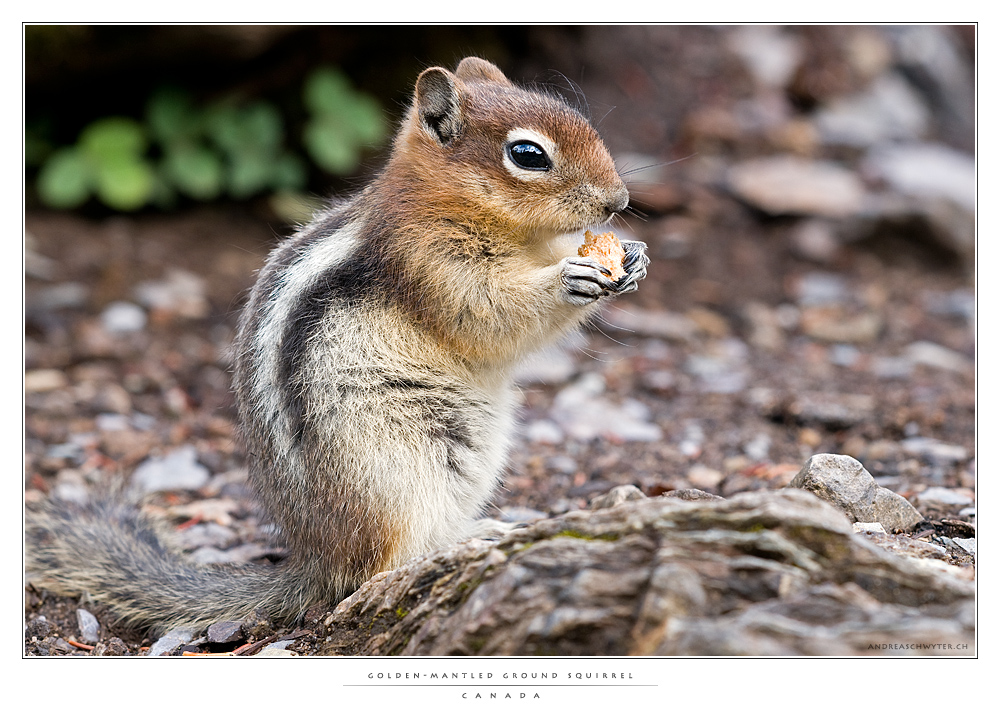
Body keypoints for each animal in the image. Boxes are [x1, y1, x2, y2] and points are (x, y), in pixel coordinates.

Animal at [25, 56, 648, 632]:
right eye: (528, 155)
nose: (618, 201)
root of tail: (318, 563)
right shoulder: (429, 263)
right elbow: (490, 315)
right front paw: (570, 278)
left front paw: (632, 257)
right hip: (395, 474)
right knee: (382, 566)